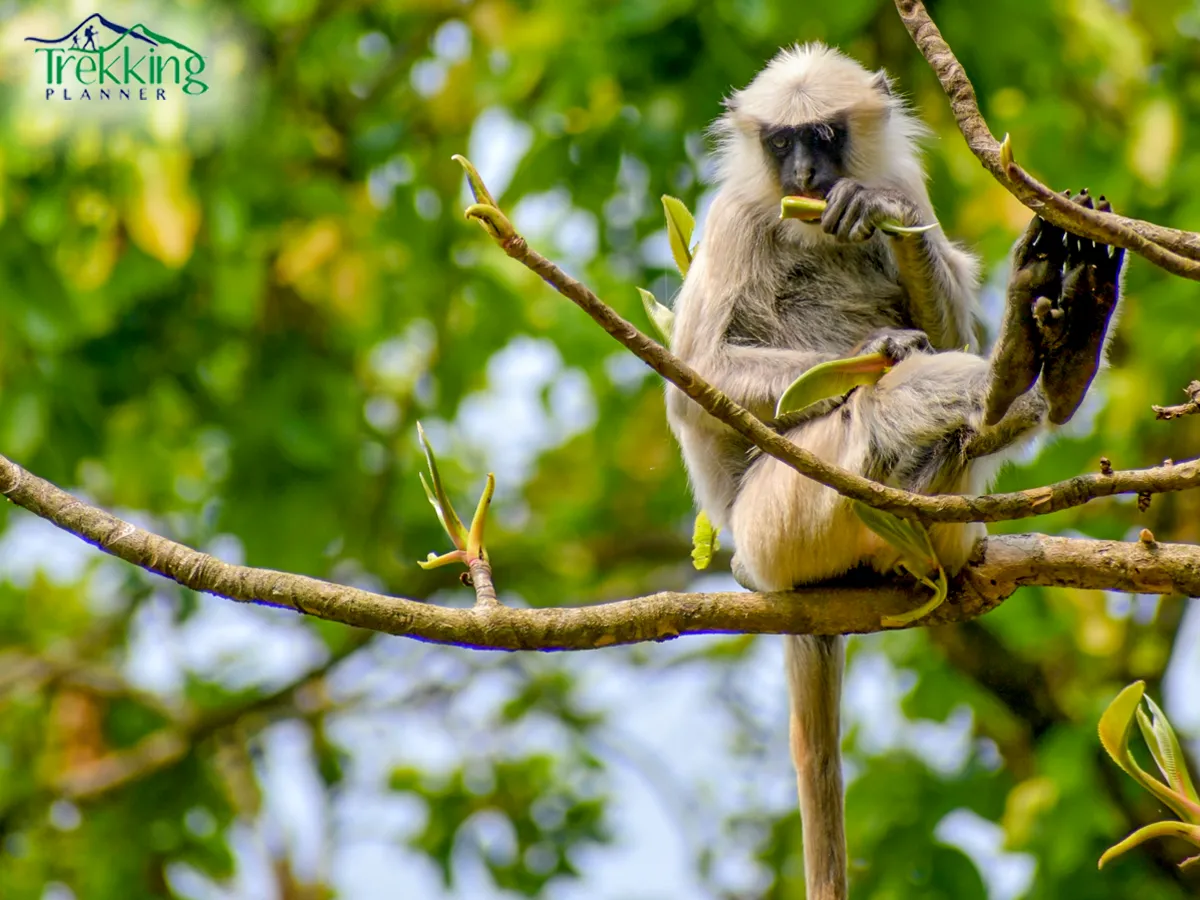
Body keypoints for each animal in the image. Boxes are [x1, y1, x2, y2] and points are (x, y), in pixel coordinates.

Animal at [663, 43, 1123, 900]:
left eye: (823, 135)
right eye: (781, 142)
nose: (804, 172)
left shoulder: (903, 188)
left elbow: (922, 268)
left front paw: (879, 213)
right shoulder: (736, 219)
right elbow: (696, 380)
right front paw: (886, 350)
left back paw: (1050, 361)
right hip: (781, 523)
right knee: (877, 407)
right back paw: (1005, 378)